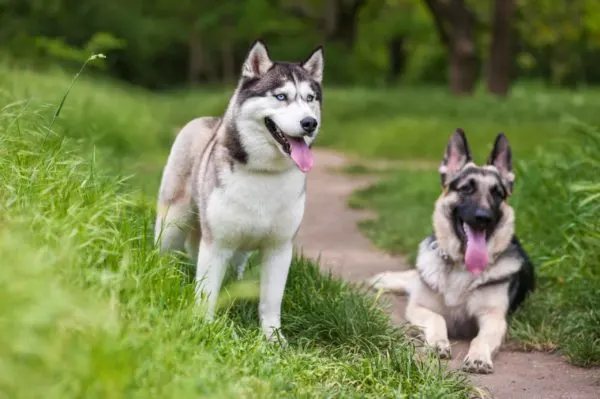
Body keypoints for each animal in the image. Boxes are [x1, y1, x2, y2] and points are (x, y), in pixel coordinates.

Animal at [370, 130, 536, 374]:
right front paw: (438, 343)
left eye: (497, 194)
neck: (460, 266)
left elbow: (480, 338)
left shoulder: (494, 318)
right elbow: (437, 319)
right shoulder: (420, 307)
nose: (483, 218)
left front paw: (479, 357)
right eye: (466, 188)